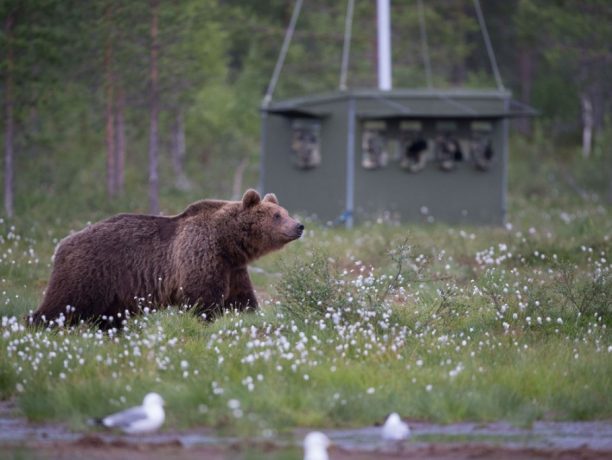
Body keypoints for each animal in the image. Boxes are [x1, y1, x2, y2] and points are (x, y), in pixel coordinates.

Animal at [31, 190, 304, 328]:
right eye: (277, 215)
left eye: (285, 212)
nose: (299, 225)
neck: (227, 242)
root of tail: (62, 244)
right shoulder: (200, 255)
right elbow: (203, 298)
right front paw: (206, 320)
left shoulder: (232, 268)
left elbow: (241, 299)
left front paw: (250, 315)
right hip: (91, 271)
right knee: (64, 303)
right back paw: (38, 323)